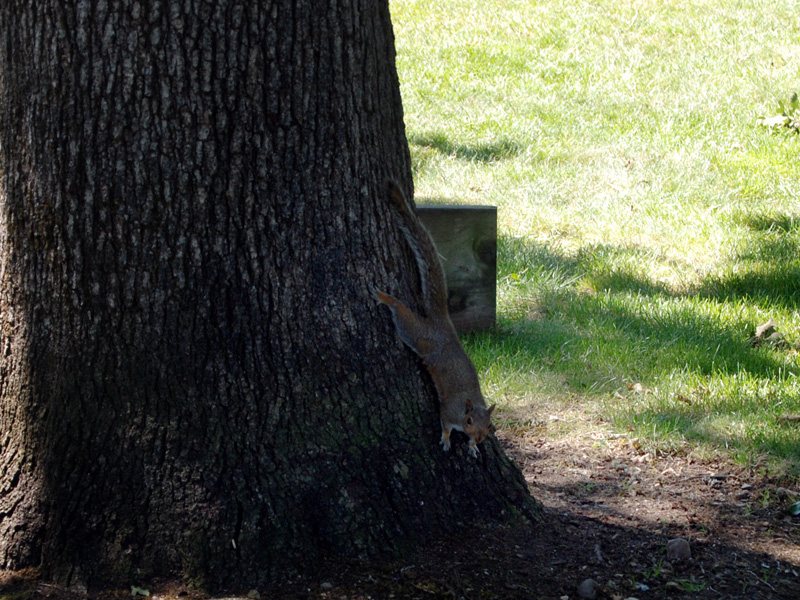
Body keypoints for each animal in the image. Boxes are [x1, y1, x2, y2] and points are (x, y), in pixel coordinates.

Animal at [376, 180, 494, 458]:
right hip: (421, 337)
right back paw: (388, 299)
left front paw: (472, 446)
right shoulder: (448, 411)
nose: (479, 437)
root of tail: (444, 324)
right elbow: (444, 424)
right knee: (405, 320)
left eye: (489, 425)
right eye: (469, 420)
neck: (467, 404)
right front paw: (447, 440)